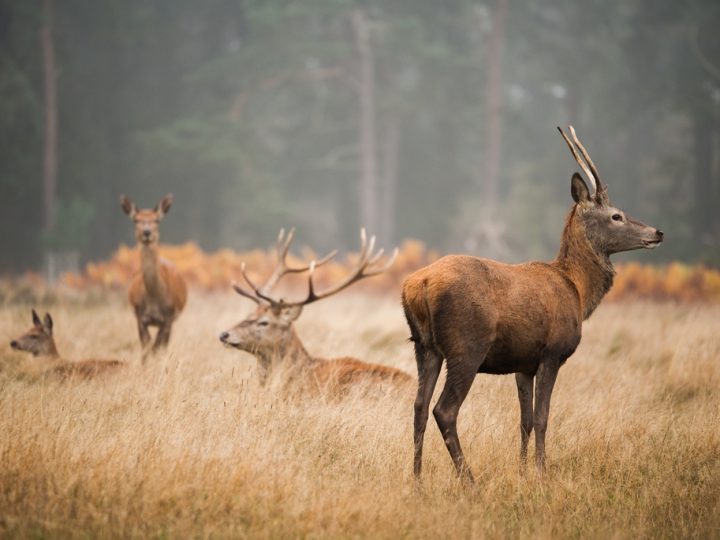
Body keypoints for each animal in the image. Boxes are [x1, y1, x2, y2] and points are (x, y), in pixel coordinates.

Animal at [119, 194, 186, 358]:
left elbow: (157, 347)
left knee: (163, 345)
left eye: (156, 220)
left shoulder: (168, 316)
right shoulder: (139, 316)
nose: (147, 232)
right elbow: (146, 348)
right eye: (136, 220)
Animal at [402, 126, 660, 480]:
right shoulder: (552, 352)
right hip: (466, 346)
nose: (657, 232)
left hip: (424, 346)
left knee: (418, 407)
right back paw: (469, 479)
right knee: (444, 409)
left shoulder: (522, 363)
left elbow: (523, 420)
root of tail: (419, 285)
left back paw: (417, 478)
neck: (577, 290)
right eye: (616, 215)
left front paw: (522, 471)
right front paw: (541, 472)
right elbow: (542, 418)